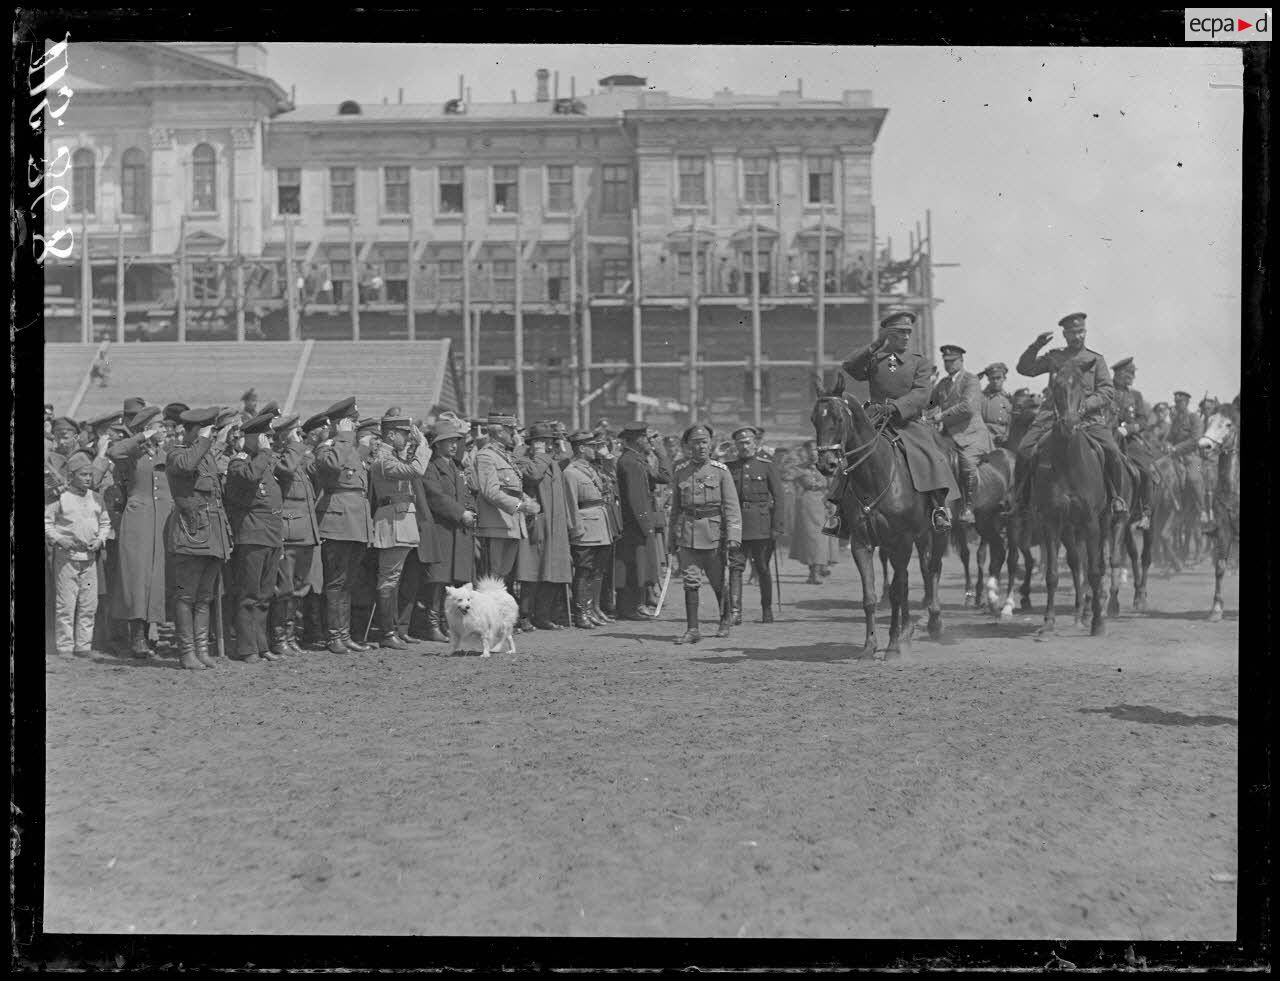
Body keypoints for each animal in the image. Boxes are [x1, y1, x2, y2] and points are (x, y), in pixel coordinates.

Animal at [808, 379, 952, 660]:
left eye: (839, 418)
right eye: (814, 419)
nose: (826, 465)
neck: (875, 476)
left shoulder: (902, 542)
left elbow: (896, 592)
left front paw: (893, 646)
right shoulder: (862, 544)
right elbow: (871, 596)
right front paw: (870, 646)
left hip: (935, 534)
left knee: (931, 570)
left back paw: (934, 623)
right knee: (910, 577)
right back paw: (907, 631)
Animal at [1029, 358, 1111, 637]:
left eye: (1084, 388)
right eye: (1056, 386)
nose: (1070, 423)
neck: (1068, 462)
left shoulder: (1092, 522)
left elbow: (1095, 571)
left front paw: (1098, 623)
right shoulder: (1052, 522)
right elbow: (1053, 574)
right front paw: (1048, 622)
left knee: (1093, 565)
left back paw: (1089, 613)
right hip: (1068, 529)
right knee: (1076, 562)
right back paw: (1079, 611)